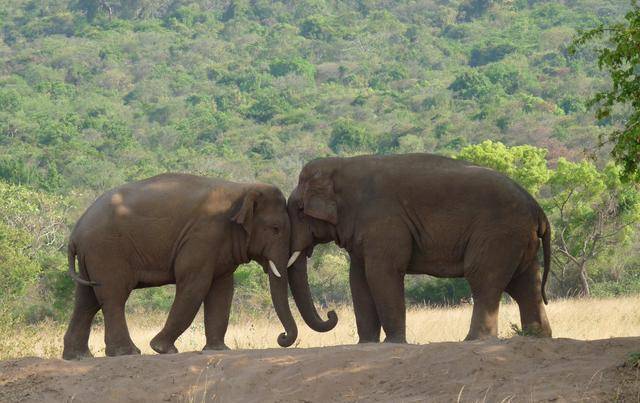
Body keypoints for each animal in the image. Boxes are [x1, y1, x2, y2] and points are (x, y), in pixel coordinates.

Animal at [62, 173, 296, 360]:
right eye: (275, 228)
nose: (282, 336)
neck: (242, 188)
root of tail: (75, 234)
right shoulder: (203, 236)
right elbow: (195, 285)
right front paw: (162, 349)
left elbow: (222, 290)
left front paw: (219, 350)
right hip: (107, 251)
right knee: (113, 297)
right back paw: (127, 353)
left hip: (92, 257)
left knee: (86, 300)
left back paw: (78, 356)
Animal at [285, 153, 552, 344]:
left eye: (299, 210)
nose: (331, 314)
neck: (342, 164)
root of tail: (538, 209)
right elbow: (358, 279)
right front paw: (366, 344)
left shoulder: (384, 221)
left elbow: (382, 273)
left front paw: (394, 343)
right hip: (518, 239)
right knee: (525, 285)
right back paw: (537, 337)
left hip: (499, 234)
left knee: (483, 279)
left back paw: (474, 340)